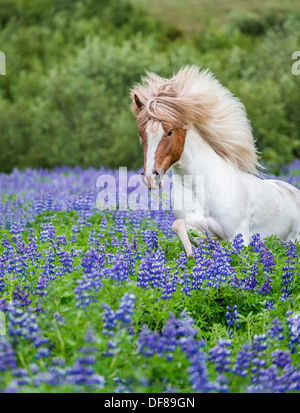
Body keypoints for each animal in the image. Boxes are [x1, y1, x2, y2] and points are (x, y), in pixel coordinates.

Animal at [130, 65, 300, 256]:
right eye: (141, 133)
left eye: (170, 132)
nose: (150, 177)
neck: (201, 190)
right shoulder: (201, 230)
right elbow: (179, 226)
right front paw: (191, 255)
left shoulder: (239, 237)